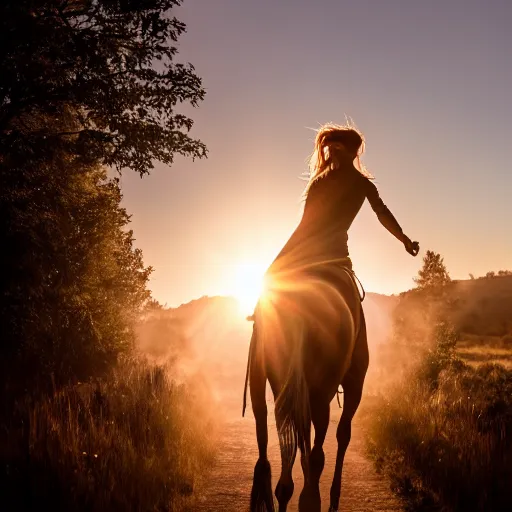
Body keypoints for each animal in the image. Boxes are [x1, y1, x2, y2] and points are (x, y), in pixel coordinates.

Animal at [242, 260, 366, 512]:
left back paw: (283, 491)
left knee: (267, 434)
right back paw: (310, 499)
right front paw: (333, 498)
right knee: (317, 454)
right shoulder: (355, 380)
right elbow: (342, 435)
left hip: (267, 378)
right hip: (321, 394)